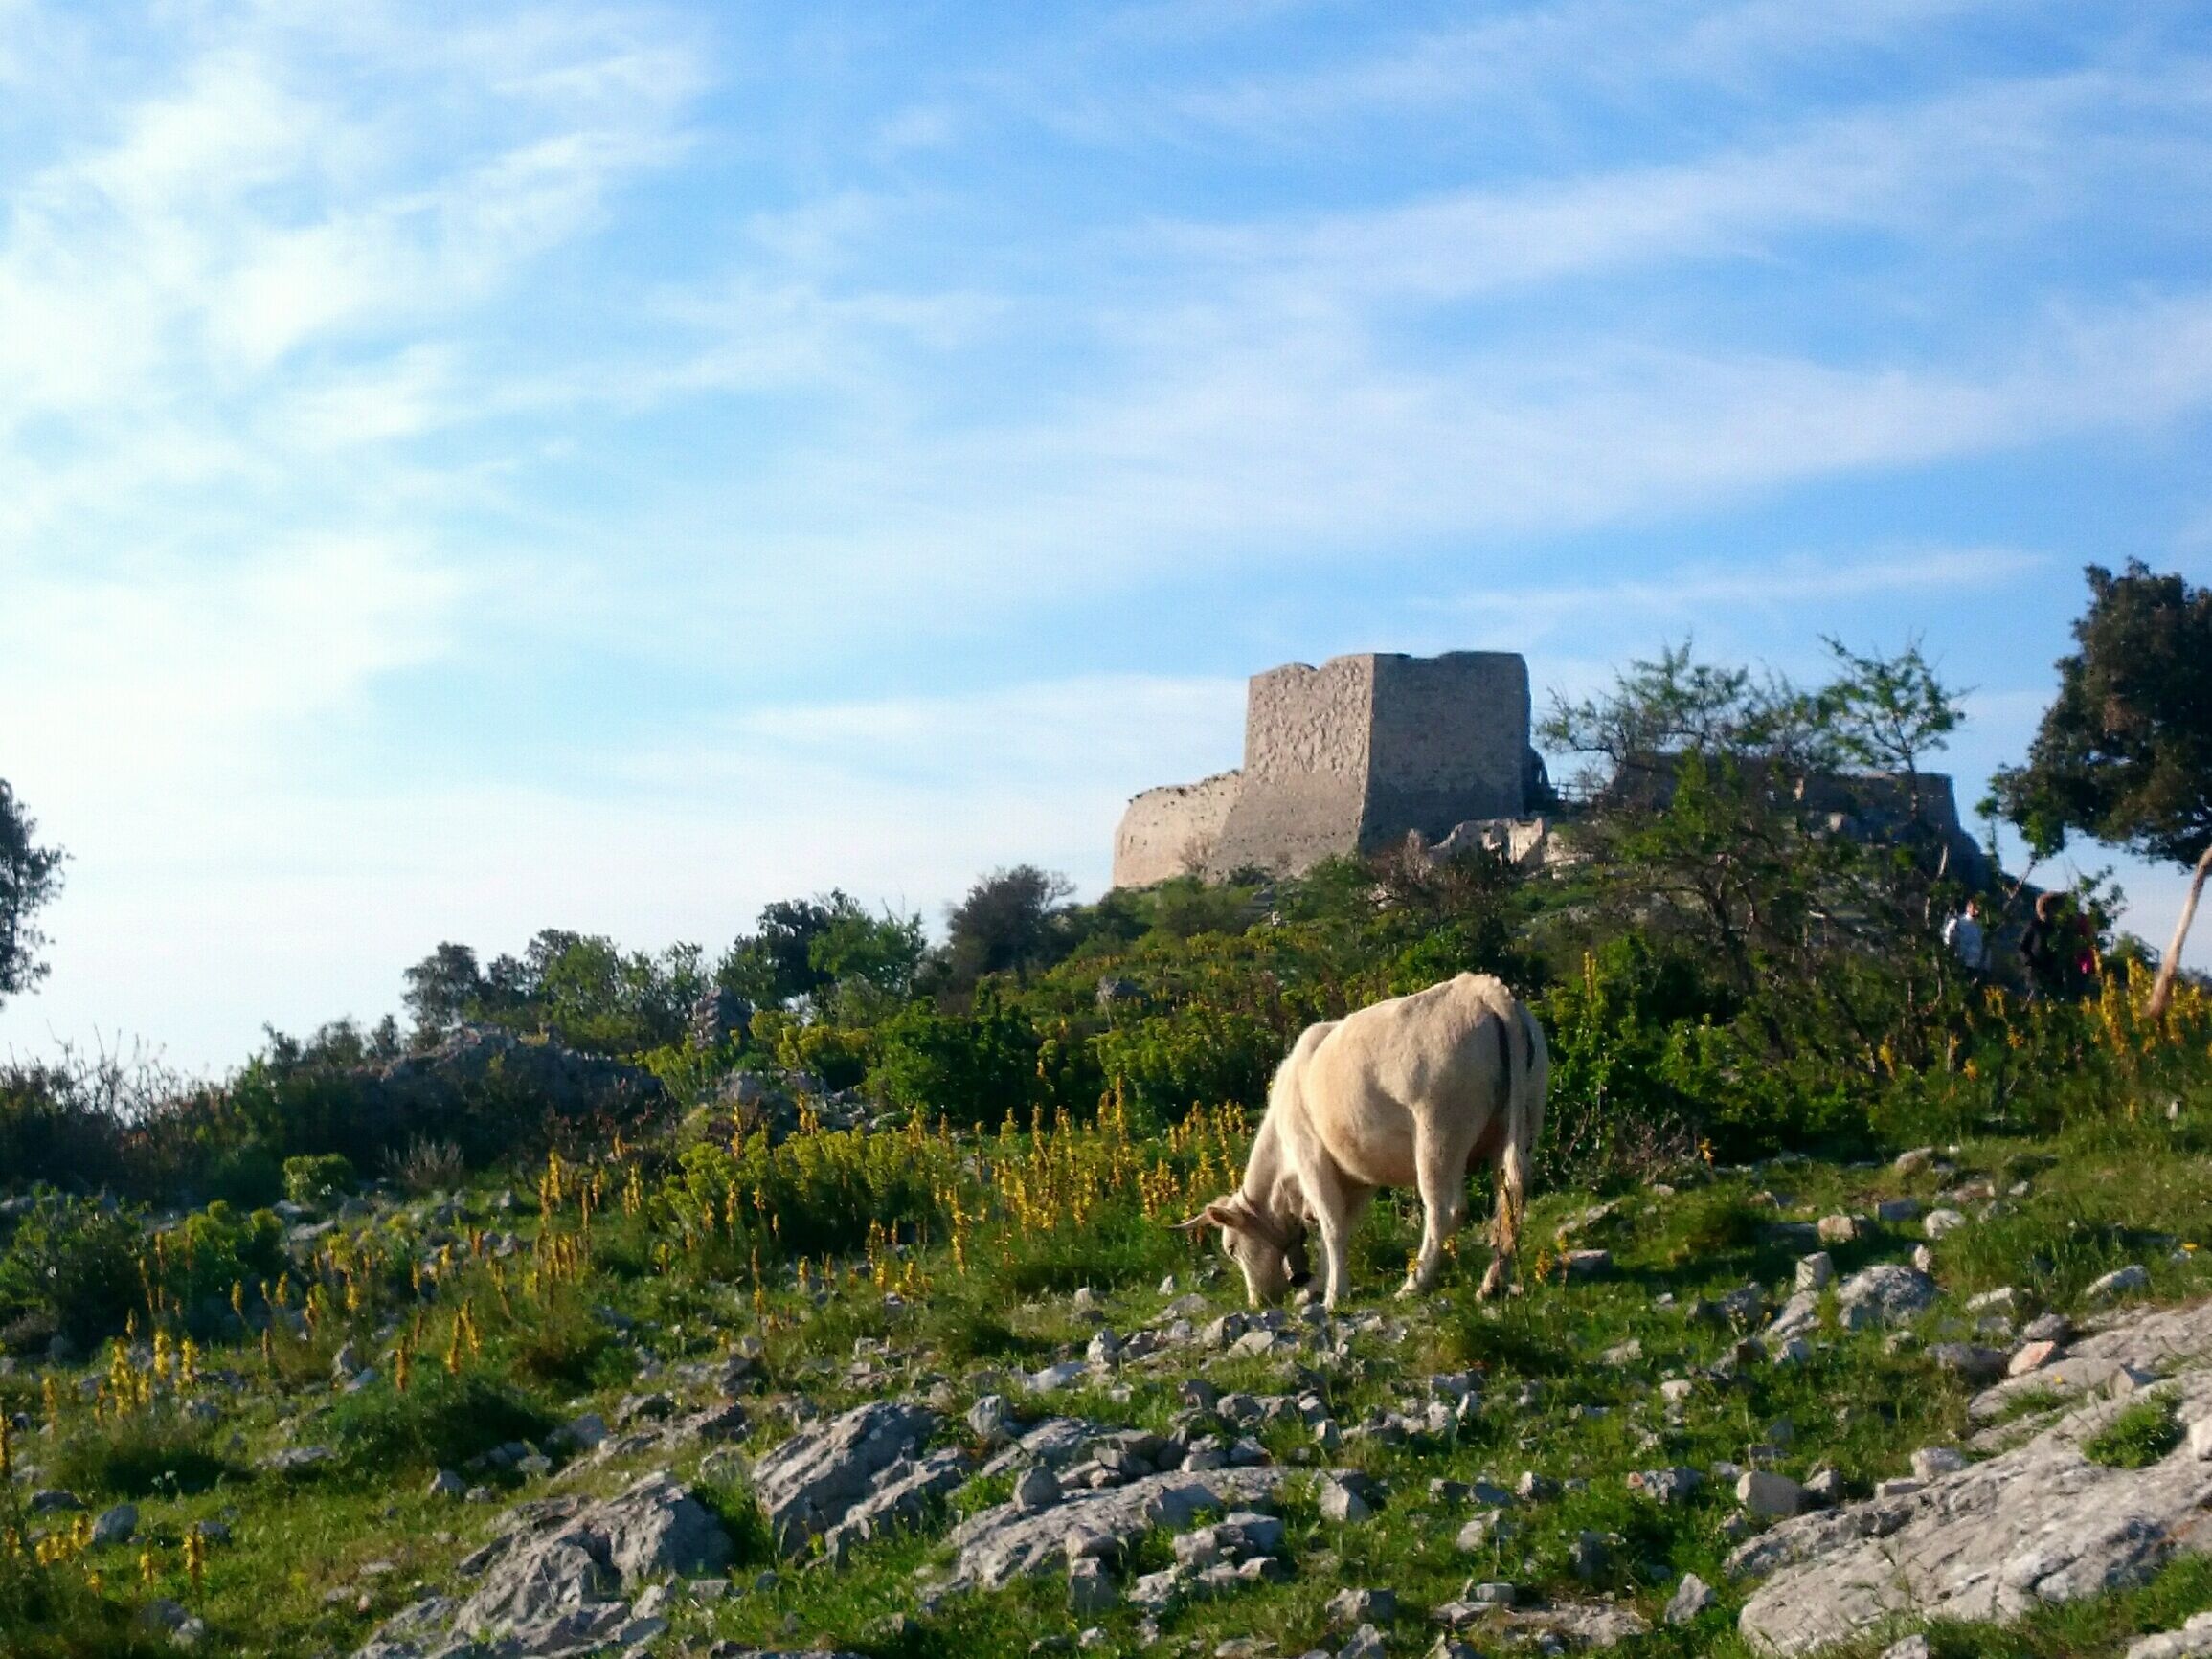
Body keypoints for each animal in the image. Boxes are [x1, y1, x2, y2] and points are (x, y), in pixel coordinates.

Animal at [1175, 972, 1547, 1309]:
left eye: (1231, 1247)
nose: (1257, 1302)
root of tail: (1480, 988)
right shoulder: (1357, 1175)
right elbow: (1339, 1226)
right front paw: (1316, 1286)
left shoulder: (1311, 1158)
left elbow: (1331, 1225)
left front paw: (1333, 1295)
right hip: (1521, 1122)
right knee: (1510, 1196)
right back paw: (1492, 1283)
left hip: (1439, 1132)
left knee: (1445, 1208)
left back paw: (1415, 1284)